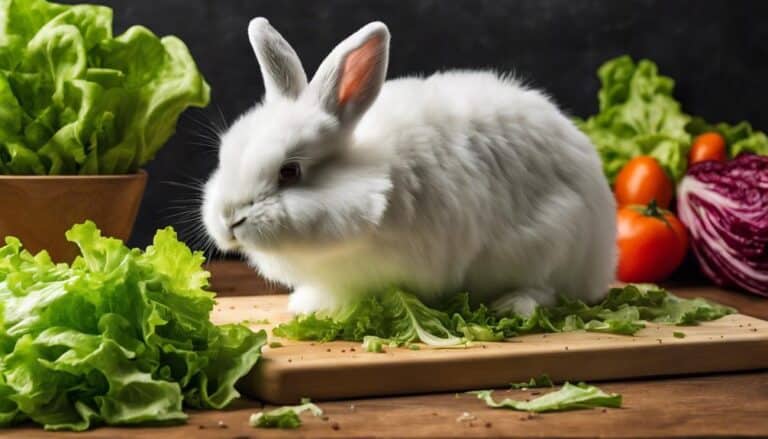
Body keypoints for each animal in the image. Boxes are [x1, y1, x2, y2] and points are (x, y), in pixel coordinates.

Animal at [202, 17, 617, 317]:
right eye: (224, 154)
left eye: (290, 171)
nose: (229, 220)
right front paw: (306, 306)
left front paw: (325, 309)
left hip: (552, 242)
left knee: (546, 290)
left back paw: (513, 304)